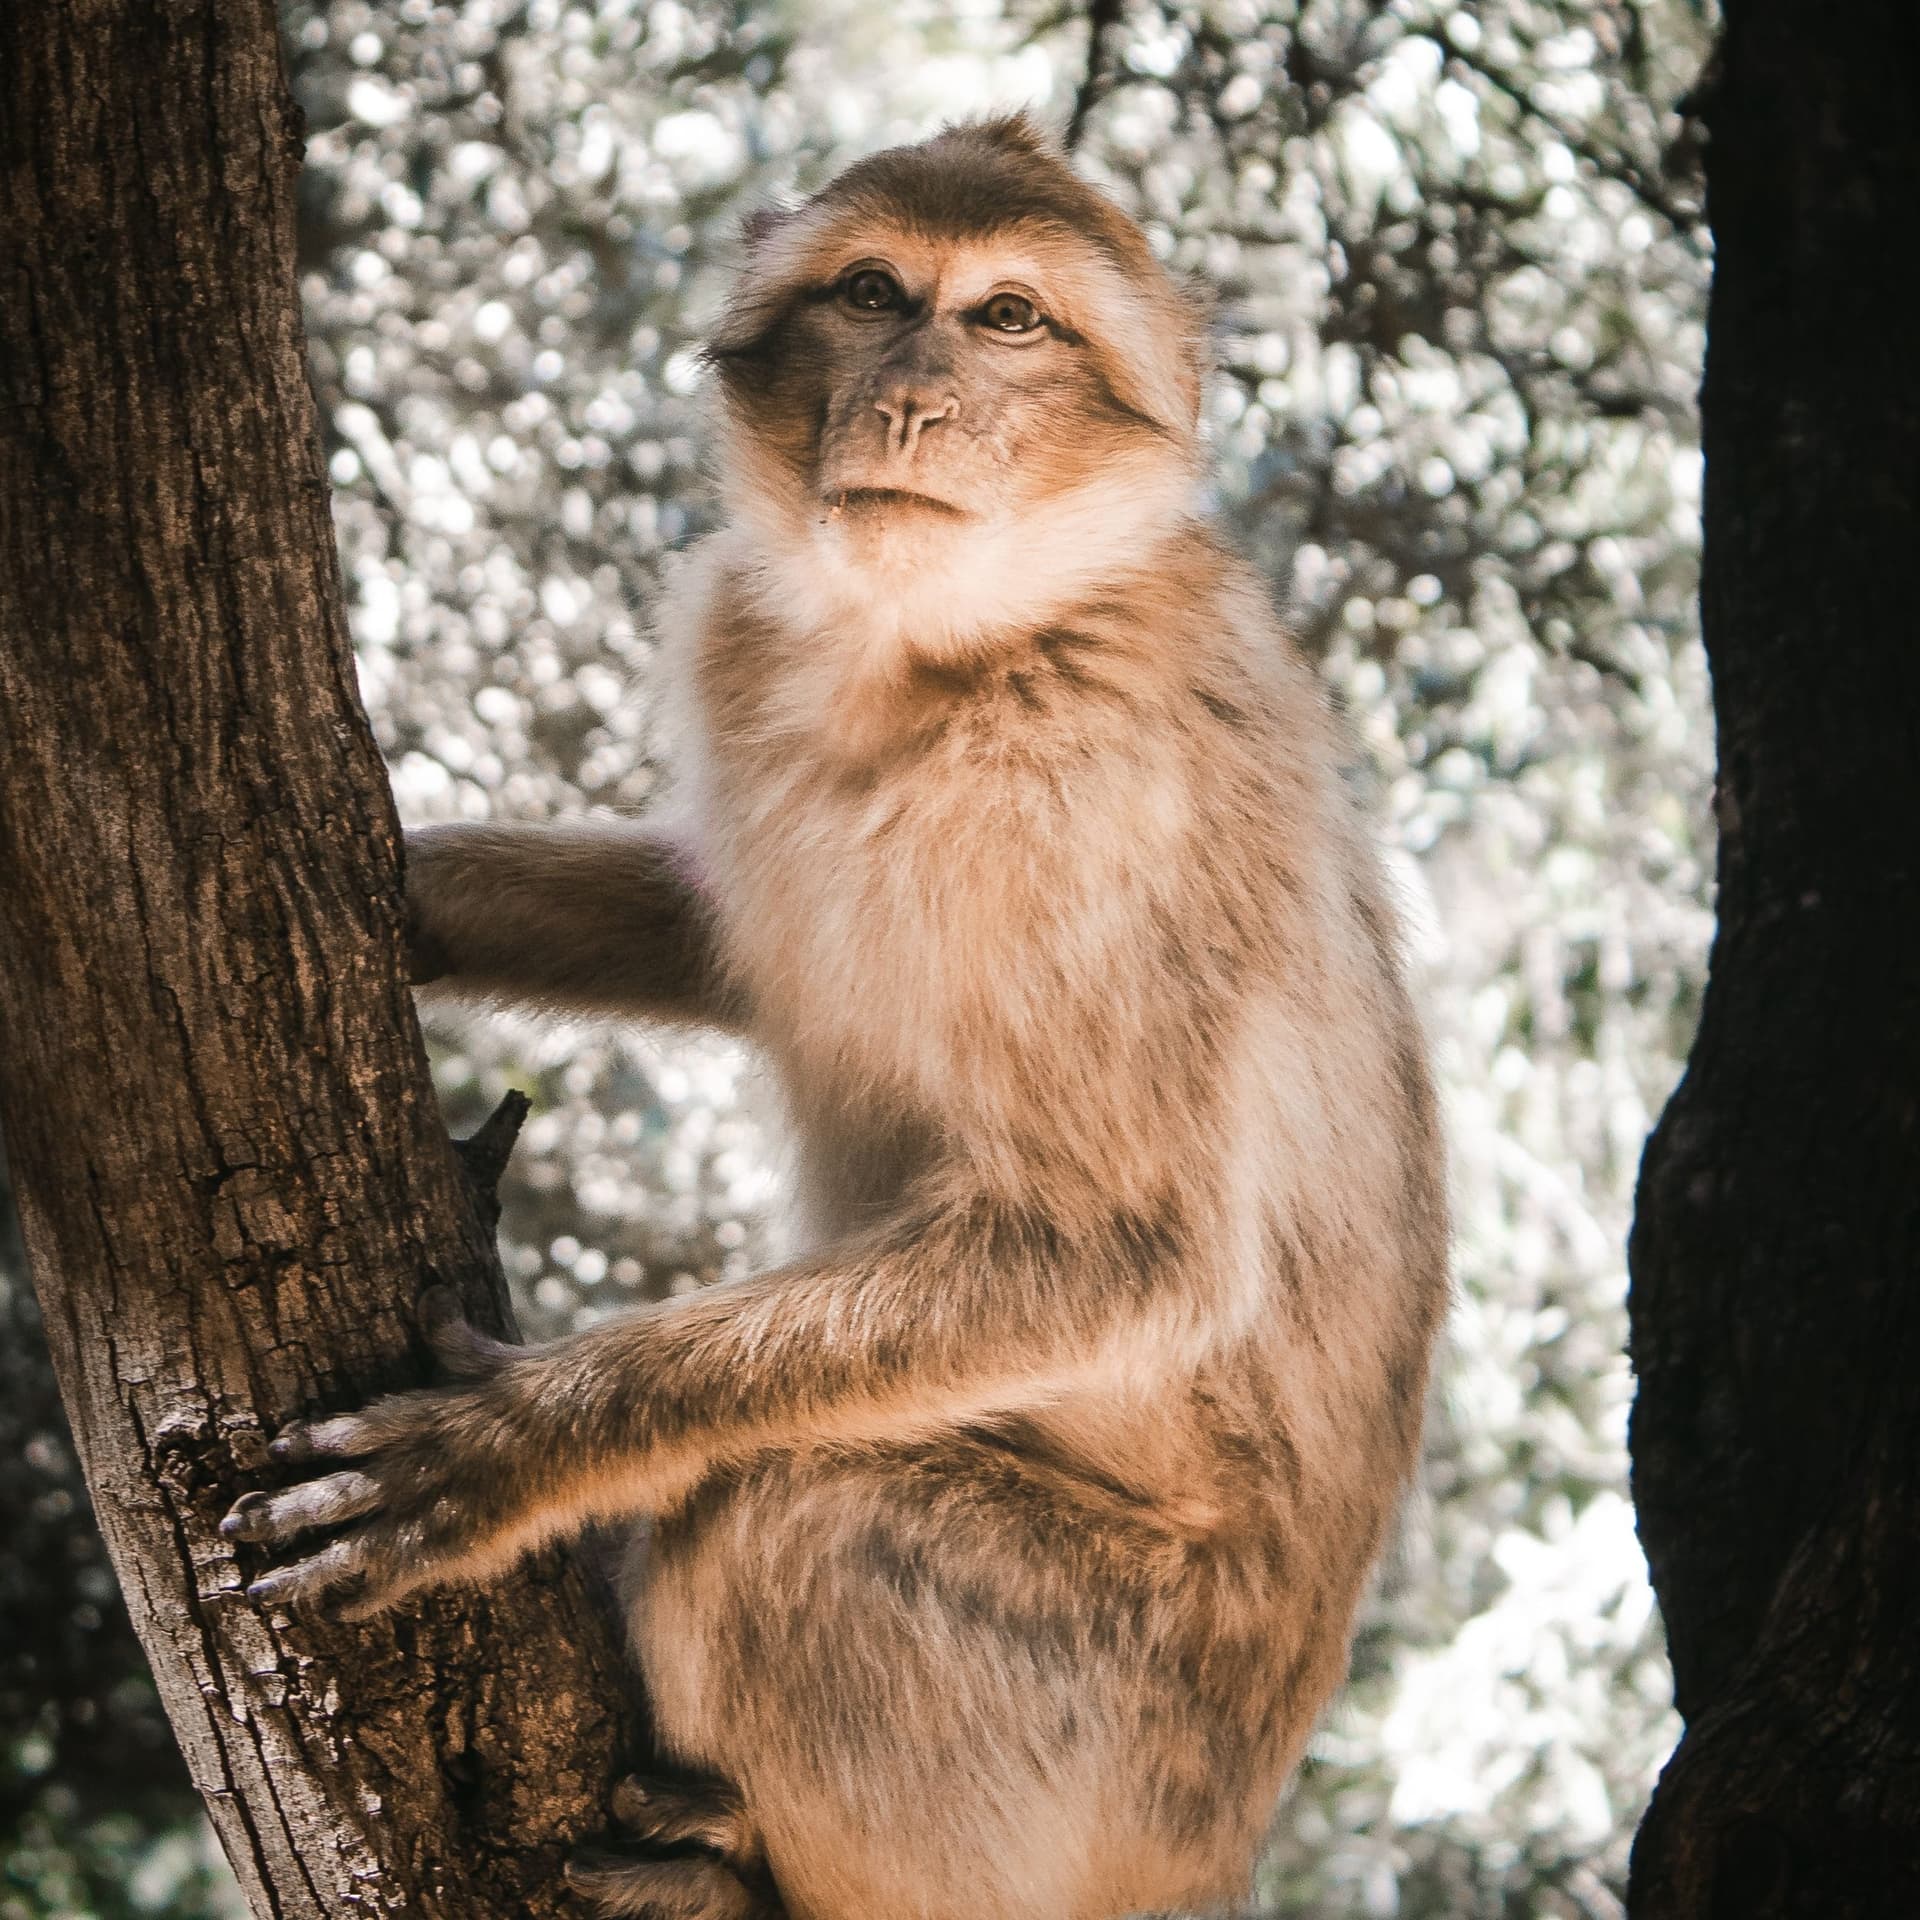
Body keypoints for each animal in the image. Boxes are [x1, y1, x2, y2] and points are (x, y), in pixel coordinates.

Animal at [222, 115, 1449, 1920]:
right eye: (873, 294)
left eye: (1006, 317)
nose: (912, 396)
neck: (943, 653)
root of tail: (1218, 1844)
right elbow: (713, 926)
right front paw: (421, 898)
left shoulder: (1101, 798)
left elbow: (1128, 1252)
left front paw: (522, 1443)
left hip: (1092, 1718)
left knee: (785, 1521)